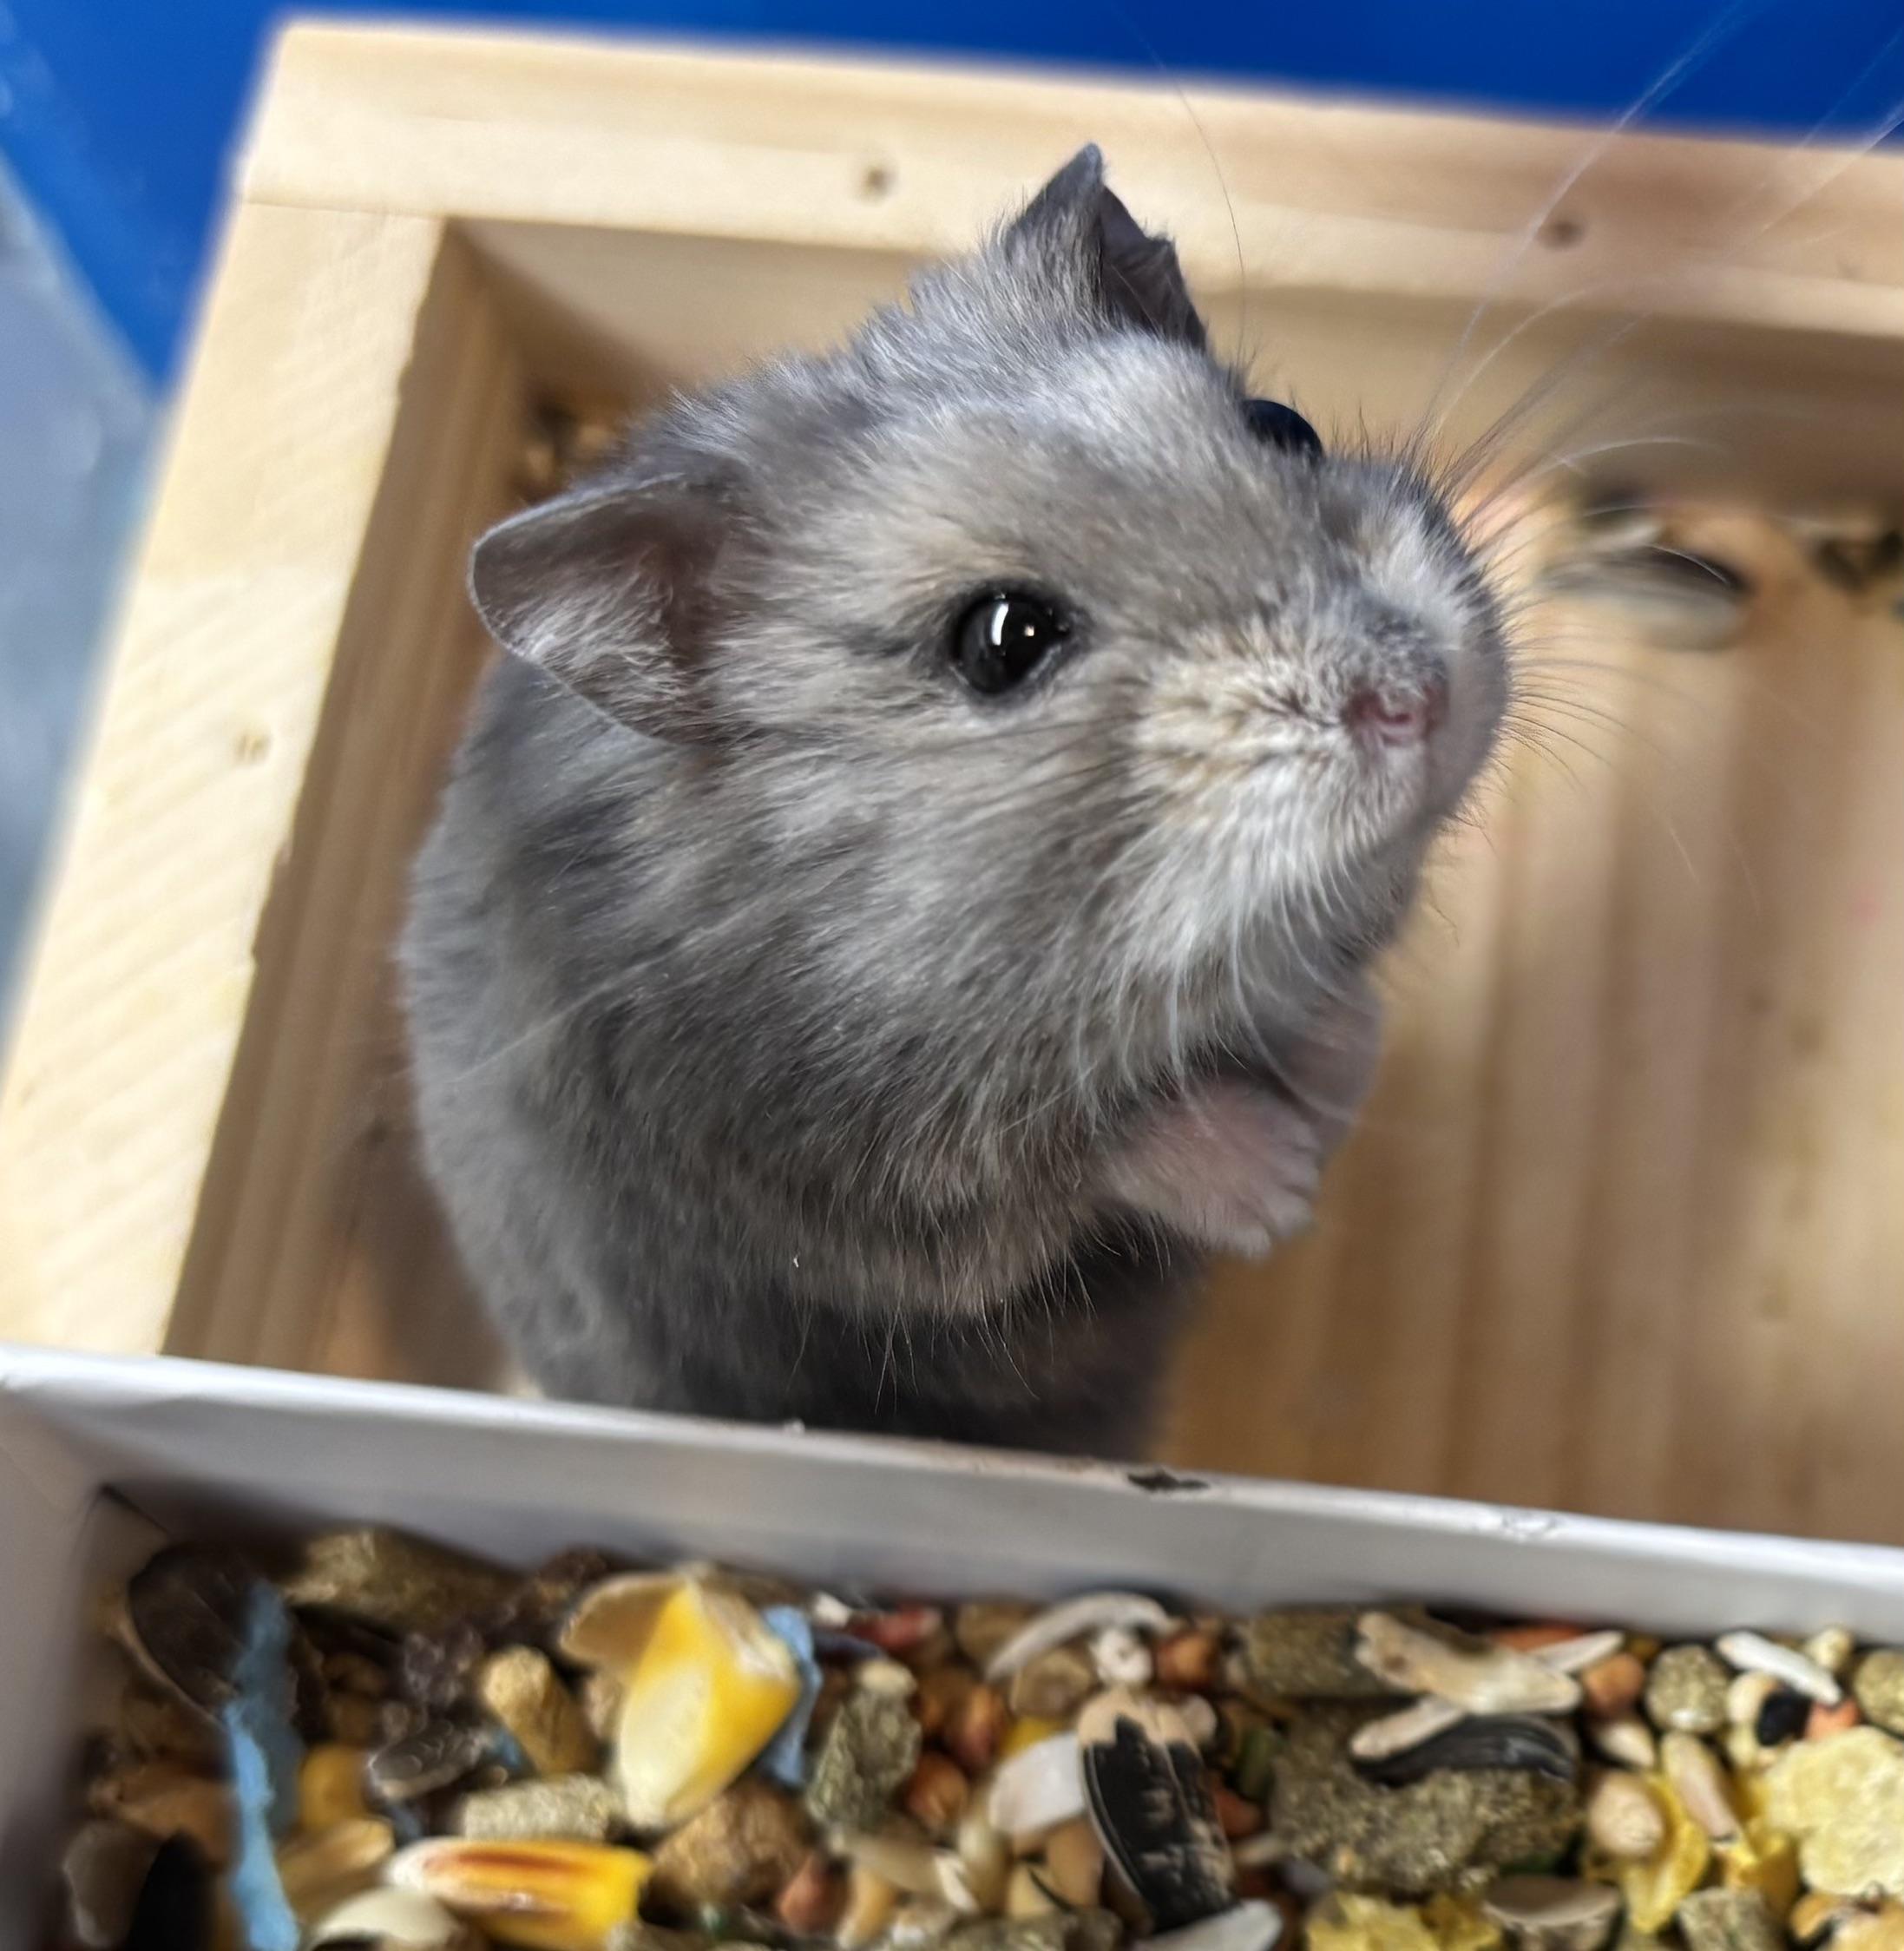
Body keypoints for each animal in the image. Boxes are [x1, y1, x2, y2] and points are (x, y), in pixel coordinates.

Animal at [400, 146, 1508, 1455]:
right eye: (1002, 640)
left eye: (1284, 427)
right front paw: (1283, 1183)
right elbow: (1094, 1150)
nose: (1422, 700)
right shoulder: (856, 1184)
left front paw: (1346, 1049)